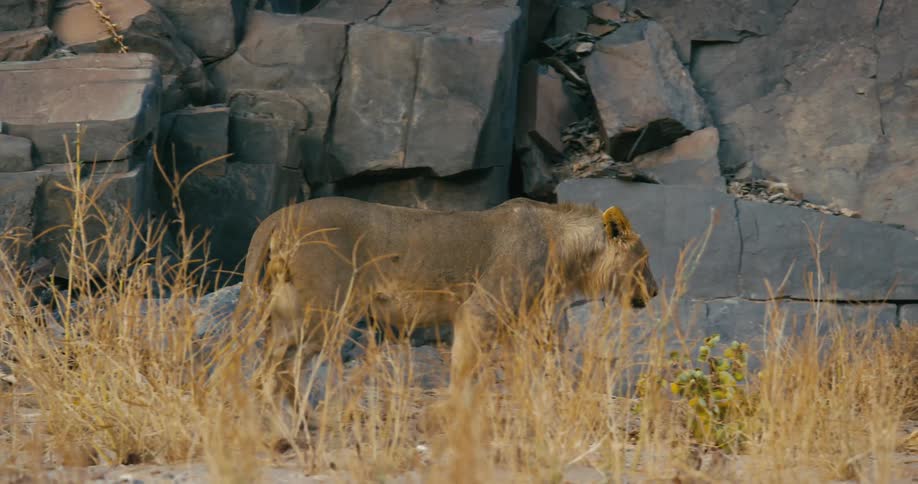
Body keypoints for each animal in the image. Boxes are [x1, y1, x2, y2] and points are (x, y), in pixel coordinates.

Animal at [234, 196, 657, 398]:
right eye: (644, 259)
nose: (654, 291)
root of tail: (277, 216)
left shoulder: (527, 325)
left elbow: (535, 374)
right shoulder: (479, 310)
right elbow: (464, 371)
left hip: (288, 309)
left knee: (271, 366)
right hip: (322, 311)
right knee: (278, 370)